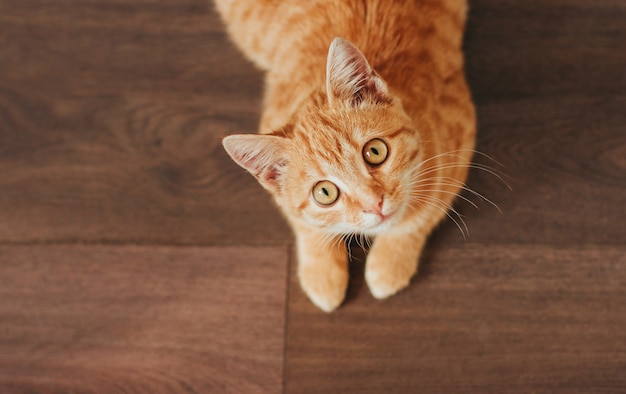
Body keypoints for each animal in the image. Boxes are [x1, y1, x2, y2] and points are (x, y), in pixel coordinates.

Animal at [217, 0, 476, 314]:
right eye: (325, 192)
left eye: (375, 151)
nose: (375, 204)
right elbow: (304, 223)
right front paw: (323, 275)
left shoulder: (460, 137)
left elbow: (422, 213)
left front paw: (389, 263)